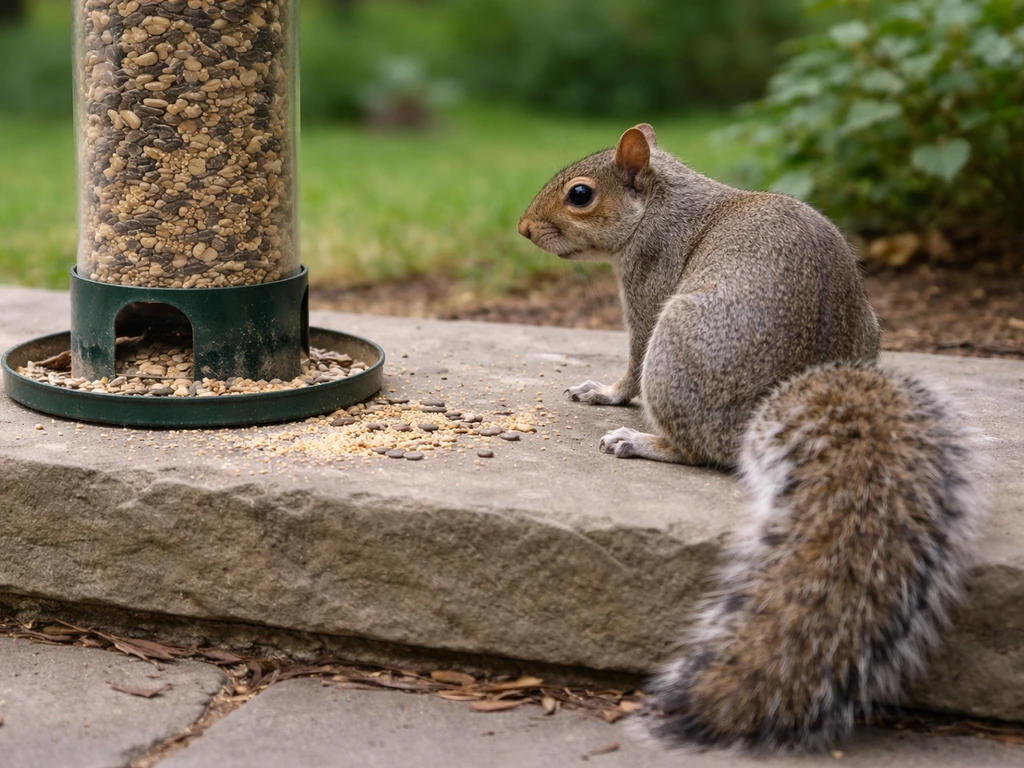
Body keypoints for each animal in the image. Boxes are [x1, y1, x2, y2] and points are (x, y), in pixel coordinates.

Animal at [517, 124, 982, 753]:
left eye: (581, 195)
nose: (522, 228)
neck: (663, 203)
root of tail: (773, 400)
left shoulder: (649, 282)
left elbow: (630, 367)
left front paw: (604, 393)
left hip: (676, 338)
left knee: (694, 448)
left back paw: (640, 442)